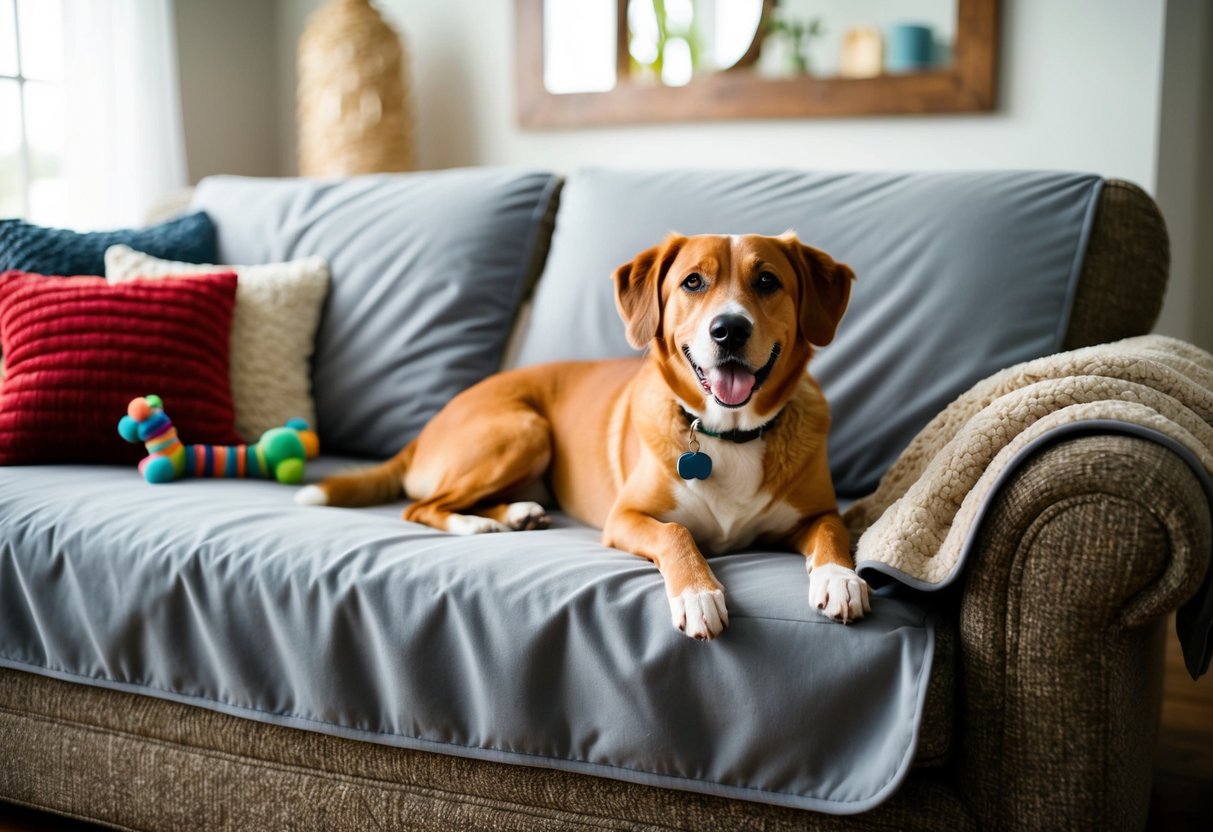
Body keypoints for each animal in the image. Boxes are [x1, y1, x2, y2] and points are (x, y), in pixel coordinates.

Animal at [297, 231, 868, 640]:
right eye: (692, 283)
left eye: (767, 281)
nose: (729, 330)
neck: (728, 434)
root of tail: (429, 426)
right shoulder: (626, 517)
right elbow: (676, 533)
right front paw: (698, 595)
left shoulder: (818, 513)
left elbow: (833, 534)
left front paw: (840, 580)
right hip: (524, 431)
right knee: (421, 507)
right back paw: (475, 523)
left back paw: (517, 513)